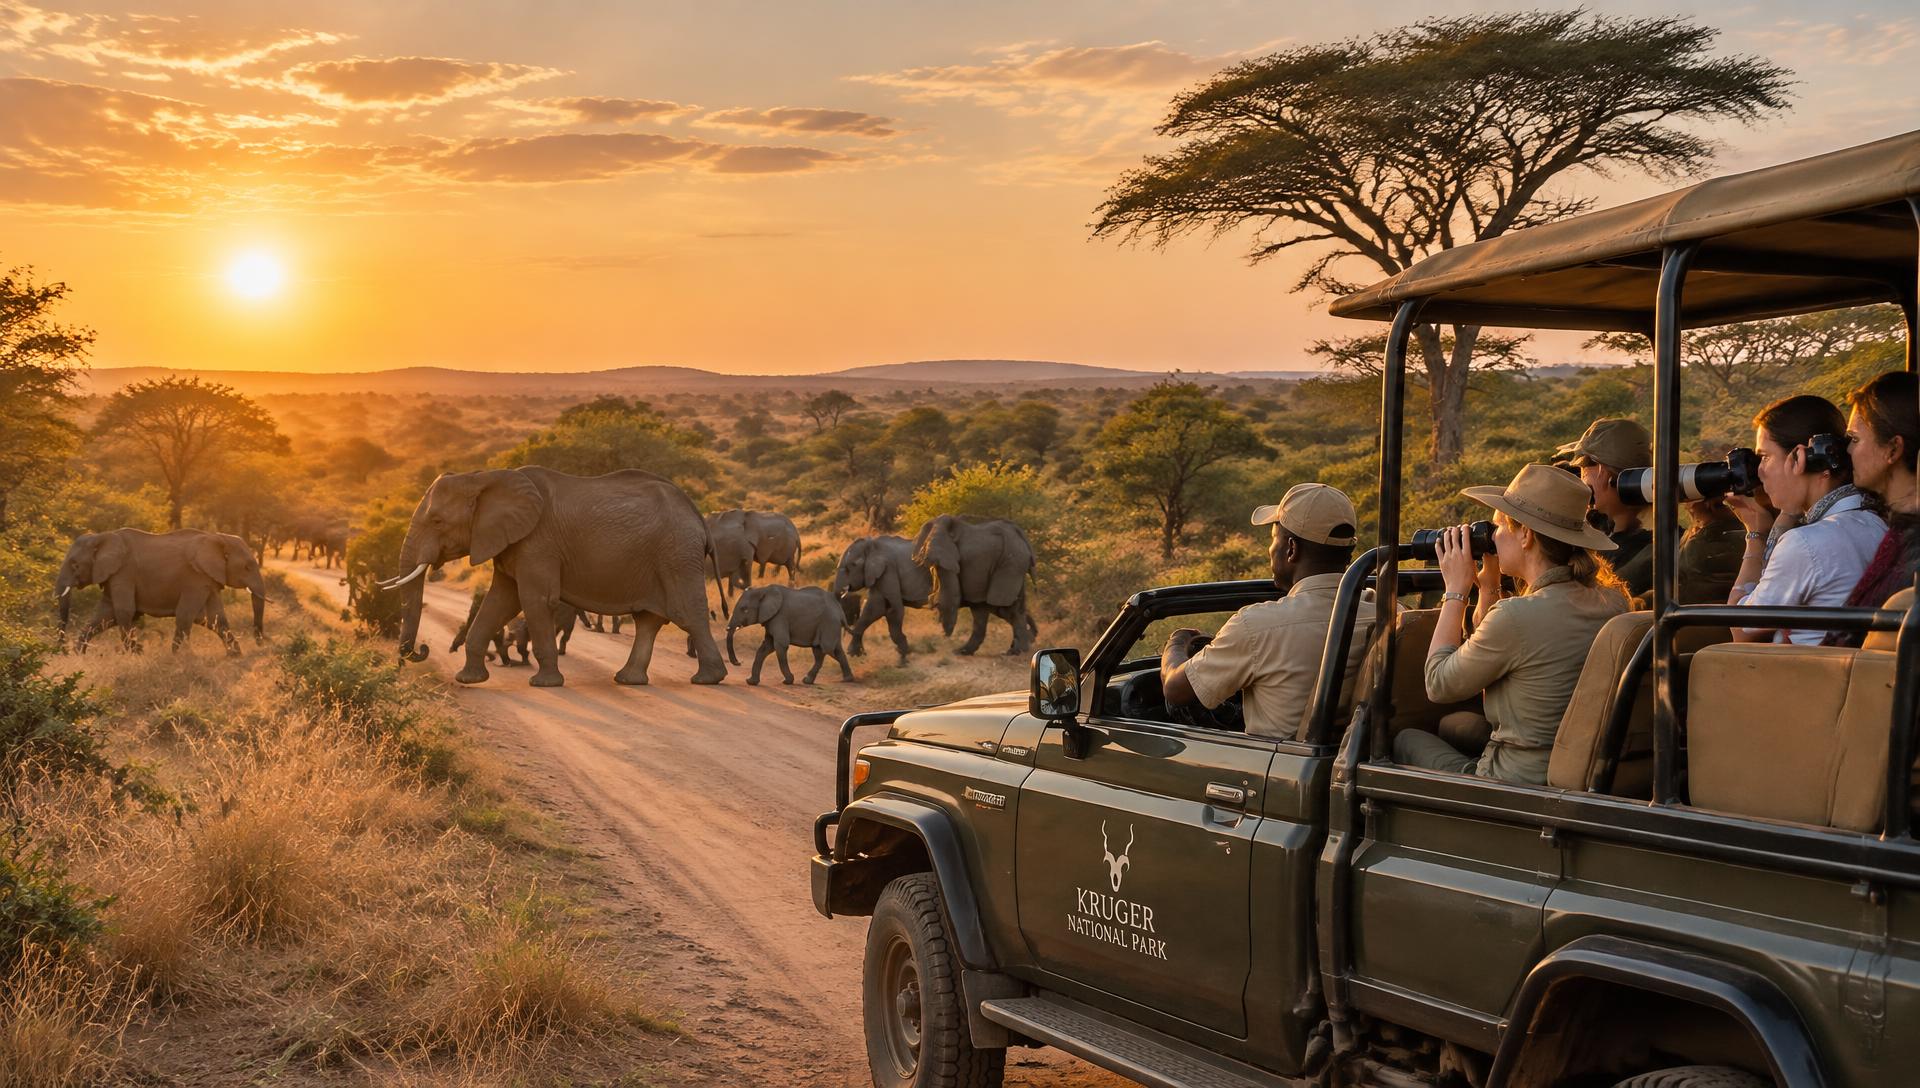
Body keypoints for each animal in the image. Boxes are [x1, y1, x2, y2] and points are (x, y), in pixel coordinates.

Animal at [56, 529, 267, 655]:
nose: (260, 643)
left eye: (74, 566)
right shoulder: (119, 575)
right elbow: (109, 615)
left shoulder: (200, 578)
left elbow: (210, 618)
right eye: (248, 567)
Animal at [381, 466, 728, 688]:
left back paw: (708, 679)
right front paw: (469, 680)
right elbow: (500, 602)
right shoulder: (511, 544)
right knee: (648, 620)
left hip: (677, 555)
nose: (422, 650)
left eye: (437, 521)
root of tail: (698, 514)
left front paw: (544, 684)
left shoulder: (538, 543)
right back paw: (628, 680)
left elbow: (534, 600)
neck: (483, 477)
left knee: (686, 613)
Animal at [831, 534, 934, 665]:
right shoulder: (877, 575)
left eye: (851, 566)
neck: (872, 546)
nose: (865, 653)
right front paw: (854, 653)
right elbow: (873, 609)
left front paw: (902, 659)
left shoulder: (888, 570)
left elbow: (893, 609)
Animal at [910, 515, 1039, 657]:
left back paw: (1016, 651)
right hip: (1015, 564)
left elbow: (950, 595)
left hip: (1011, 563)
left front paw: (946, 636)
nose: (944, 636)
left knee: (1002, 606)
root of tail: (1021, 535)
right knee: (1003, 607)